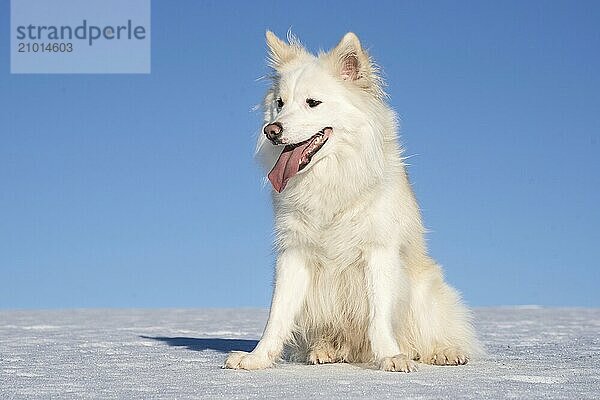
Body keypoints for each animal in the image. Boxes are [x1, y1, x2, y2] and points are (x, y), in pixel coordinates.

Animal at [225, 31, 482, 372]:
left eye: (312, 103)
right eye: (280, 103)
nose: (272, 131)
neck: (330, 180)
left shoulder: (378, 252)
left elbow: (379, 317)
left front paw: (390, 357)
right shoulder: (293, 252)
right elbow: (276, 316)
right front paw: (256, 359)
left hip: (426, 292)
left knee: (430, 336)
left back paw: (444, 352)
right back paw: (324, 351)